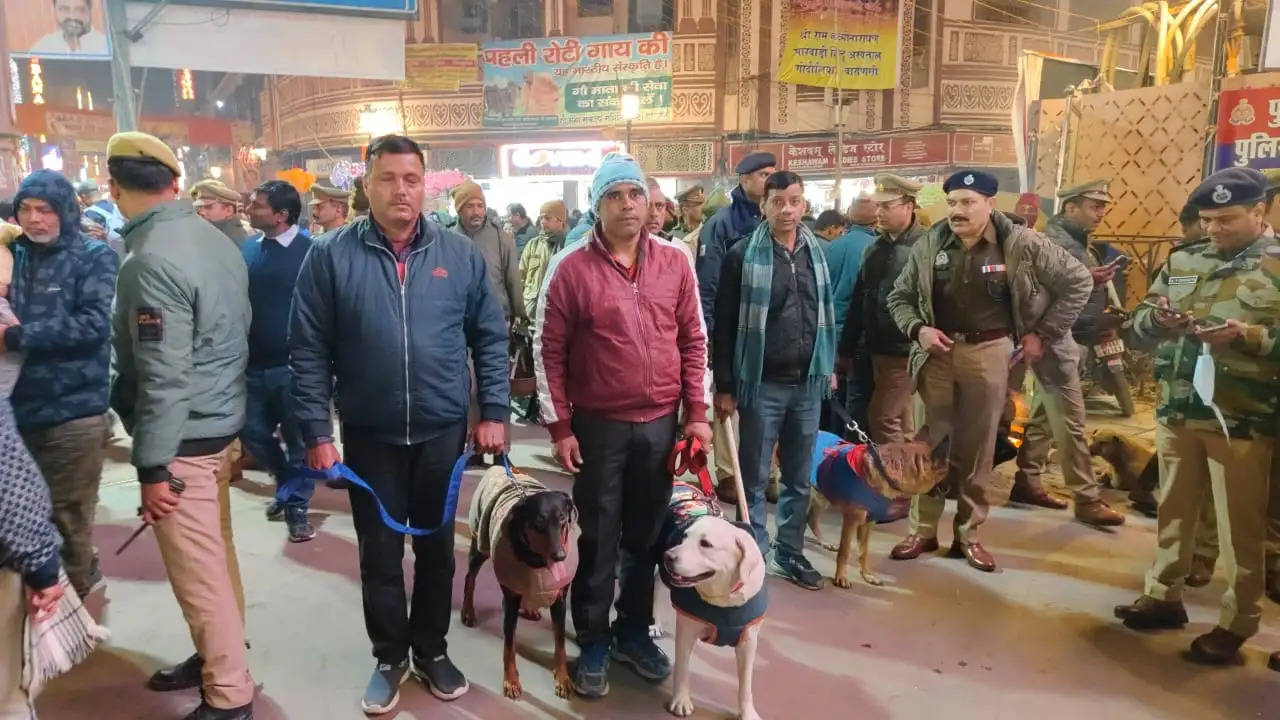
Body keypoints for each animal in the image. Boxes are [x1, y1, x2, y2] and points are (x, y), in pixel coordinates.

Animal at [463, 466, 578, 696]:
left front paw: (562, 678)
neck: (538, 562)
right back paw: (468, 611)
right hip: (479, 543)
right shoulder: (511, 600)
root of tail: (498, 467)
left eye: (562, 519)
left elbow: (560, 642)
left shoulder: (559, 598)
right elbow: (509, 646)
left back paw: (531, 609)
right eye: (539, 521)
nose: (560, 556)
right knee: (469, 578)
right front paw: (511, 681)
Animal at [660, 479, 757, 717]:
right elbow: (682, 667)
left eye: (706, 544)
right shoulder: (687, 630)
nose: (668, 556)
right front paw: (681, 700)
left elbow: (746, 684)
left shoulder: (748, 642)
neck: (723, 597)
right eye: (685, 536)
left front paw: (748, 712)